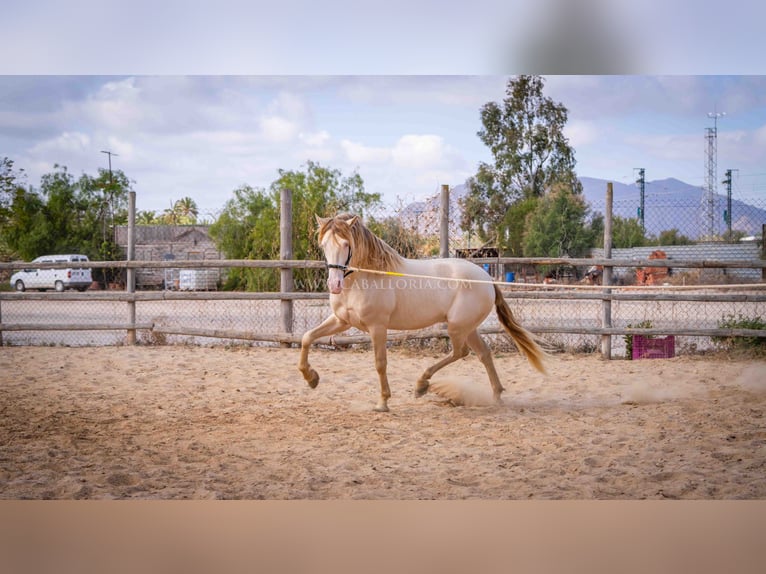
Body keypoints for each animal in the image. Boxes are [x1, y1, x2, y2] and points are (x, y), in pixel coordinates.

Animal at [300, 214, 544, 412]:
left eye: (345, 244)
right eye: (323, 244)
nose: (334, 285)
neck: (365, 277)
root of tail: (487, 279)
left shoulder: (377, 327)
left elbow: (380, 363)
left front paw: (383, 403)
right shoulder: (342, 321)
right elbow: (307, 338)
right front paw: (311, 378)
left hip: (457, 327)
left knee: (461, 352)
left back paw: (421, 384)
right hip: (467, 327)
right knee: (483, 353)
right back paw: (496, 396)